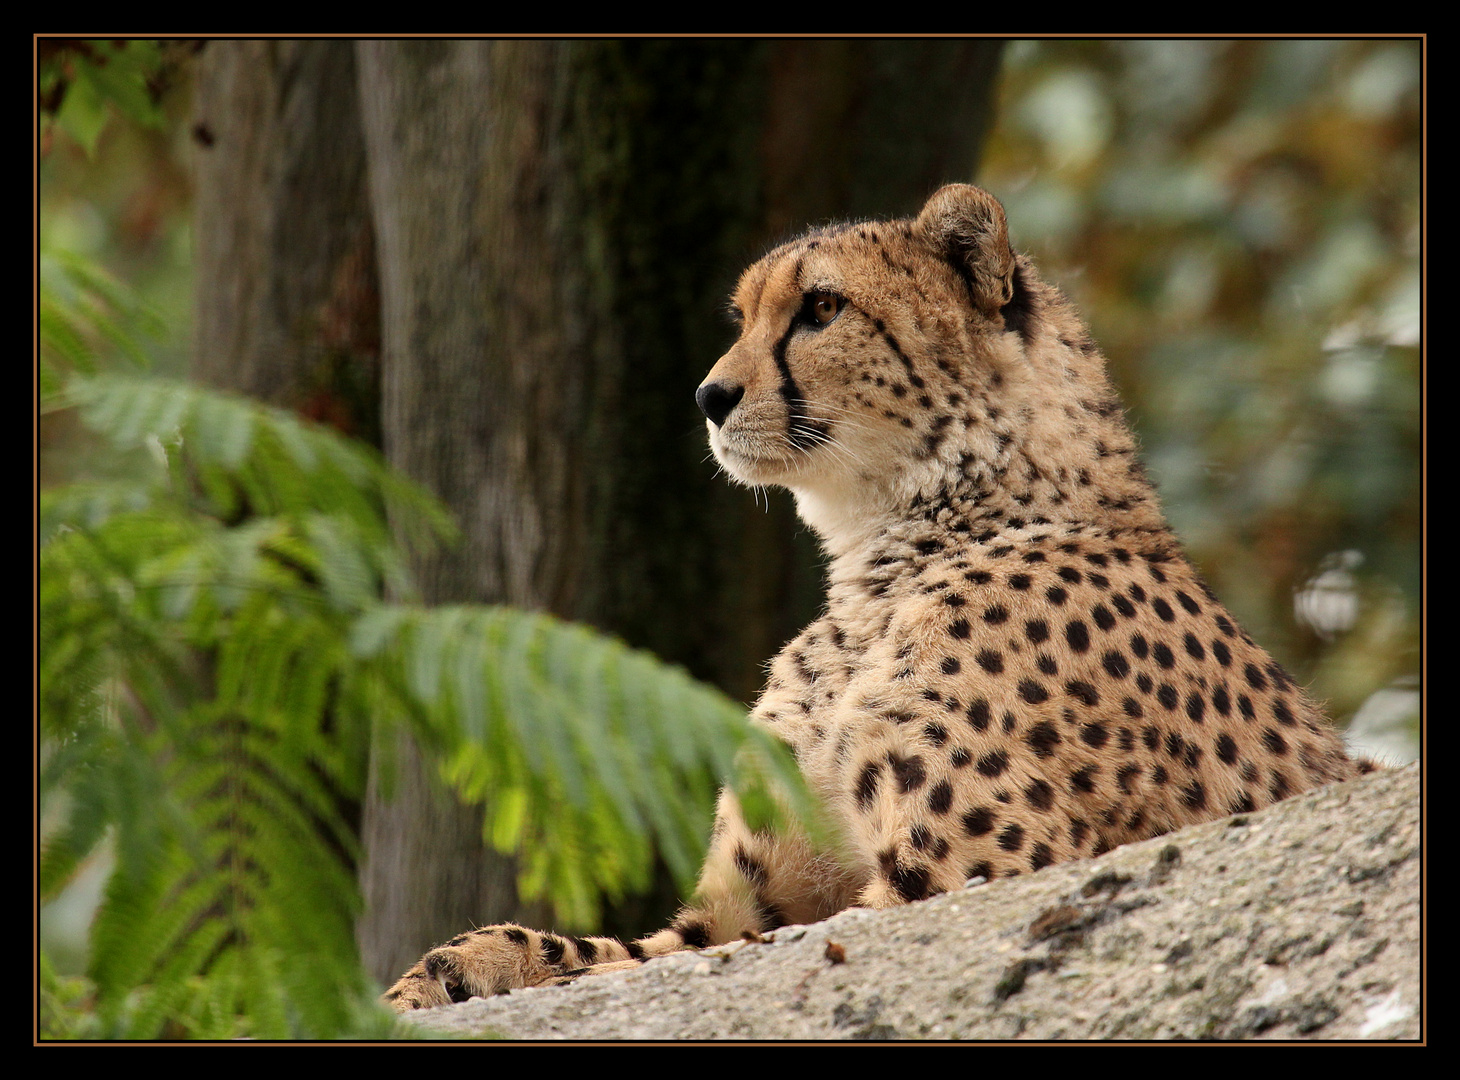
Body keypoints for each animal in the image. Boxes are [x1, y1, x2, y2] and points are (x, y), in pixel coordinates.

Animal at [385, 185, 1366, 1009]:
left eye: (821, 309)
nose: (709, 395)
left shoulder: (966, 877)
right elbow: (623, 953)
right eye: (743, 317)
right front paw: (451, 969)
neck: (882, 565)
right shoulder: (748, 904)